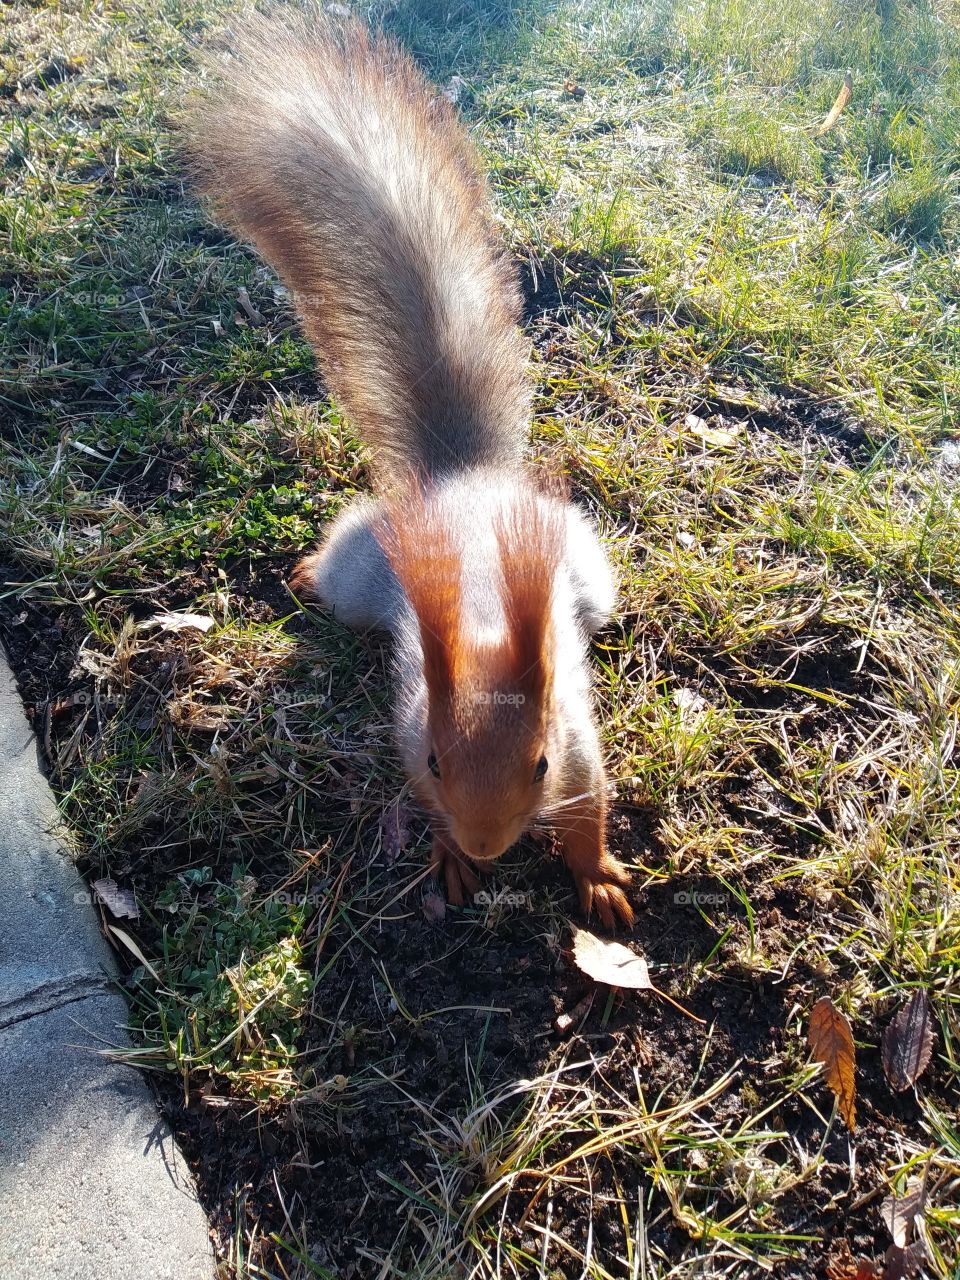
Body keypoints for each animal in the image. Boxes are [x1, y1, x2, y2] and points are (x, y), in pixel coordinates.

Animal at [183, 8, 634, 928]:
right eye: (432, 761)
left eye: (538, 763)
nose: (488, 846)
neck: (488, 622)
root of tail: (462, 479)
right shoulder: (407, 725)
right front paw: (447, 859)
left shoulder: (579, 746)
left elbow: (590, 810)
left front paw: (598, 877)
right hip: (363, 577)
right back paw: (301, 572)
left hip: (589, 572)